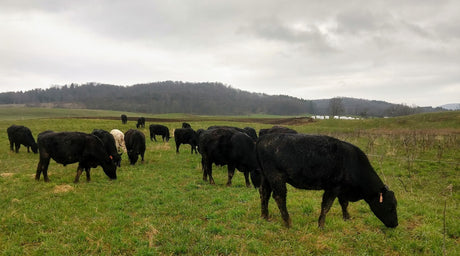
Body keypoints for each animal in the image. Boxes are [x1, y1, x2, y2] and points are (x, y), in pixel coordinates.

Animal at [256, 132, 398, 228]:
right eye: (391, 206)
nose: (395, 224)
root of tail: (264, 138)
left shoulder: (342, 189)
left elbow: (344, 203)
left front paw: (347, 218)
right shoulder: (333, 187)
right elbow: (326, 206)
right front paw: (321, 225)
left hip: (265, 177)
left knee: (264, 194)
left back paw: (265, 216)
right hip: (276, 177)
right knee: (279, 197)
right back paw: (288, 222)